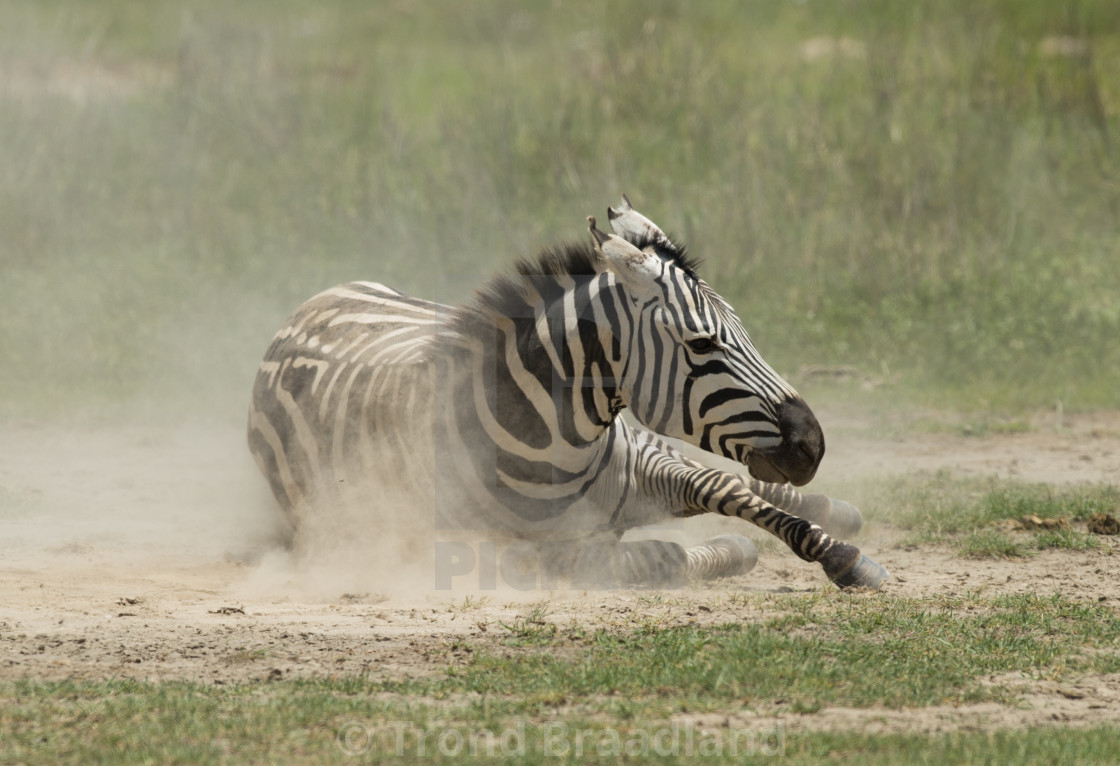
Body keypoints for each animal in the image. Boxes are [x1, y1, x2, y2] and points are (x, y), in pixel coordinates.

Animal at [249, 194, 887, 591]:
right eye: (702, 344)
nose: (813, 444)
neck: (564, 444)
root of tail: (300, 314)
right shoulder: (539, 552)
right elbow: (661, 558)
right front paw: (730, 552)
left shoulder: (650, 462)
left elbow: (727, 490)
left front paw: (843, 556)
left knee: (743, 480)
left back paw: (838, 510)